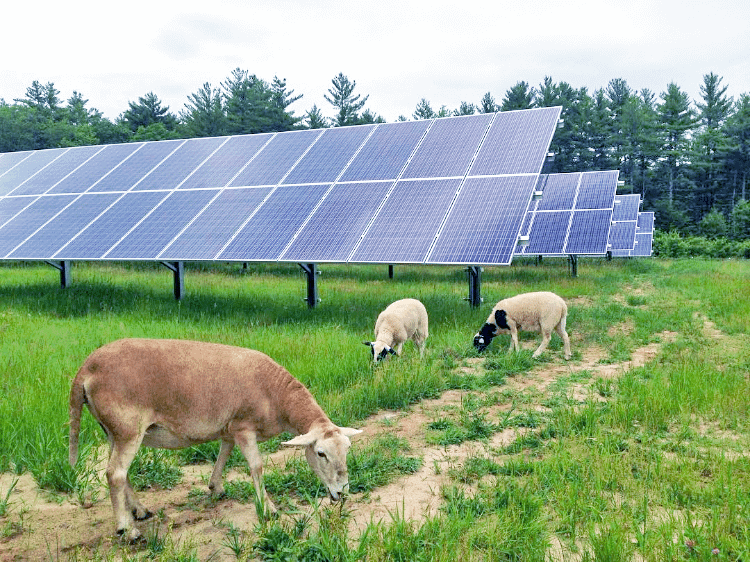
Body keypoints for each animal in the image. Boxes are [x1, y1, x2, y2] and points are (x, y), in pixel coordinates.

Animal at [69, 336, 362, 540]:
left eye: (347, 449)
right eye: (321, 453)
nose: (342, 492)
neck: (276, 396)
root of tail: (86, 368)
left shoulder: (229, 427)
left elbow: (224, 453)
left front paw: (216, 487)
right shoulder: (244, 426)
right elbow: (256, 466)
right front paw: (268, 509)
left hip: (113, 429)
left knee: (118, 471)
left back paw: (139, 511)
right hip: (128, 428)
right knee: (115, 474)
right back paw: (126, 529)